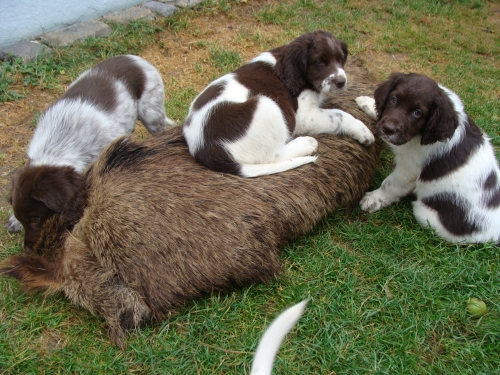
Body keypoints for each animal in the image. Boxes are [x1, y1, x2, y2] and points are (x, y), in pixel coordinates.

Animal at [6, 53, 176, 253]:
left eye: (35, 219)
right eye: (24, 218)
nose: (27, 250)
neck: (58, 145)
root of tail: (133, 57)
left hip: (151, 112)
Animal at [182, 30, 374, 178]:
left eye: (341, 59)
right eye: (320, 62)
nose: (341, 82)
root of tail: (204, 149)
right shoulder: (303, 117)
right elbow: (340, 115)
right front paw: (363, 132)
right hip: (267, 105)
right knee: (273, 155)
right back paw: (306, 143)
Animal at [356, 72, 500, 244]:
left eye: (417, 113)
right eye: (393, 99)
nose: (388, 129)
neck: (419, 135)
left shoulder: (408, 169)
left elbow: (390, 184)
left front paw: (373, 199)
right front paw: (368, 103)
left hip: (425, 213)